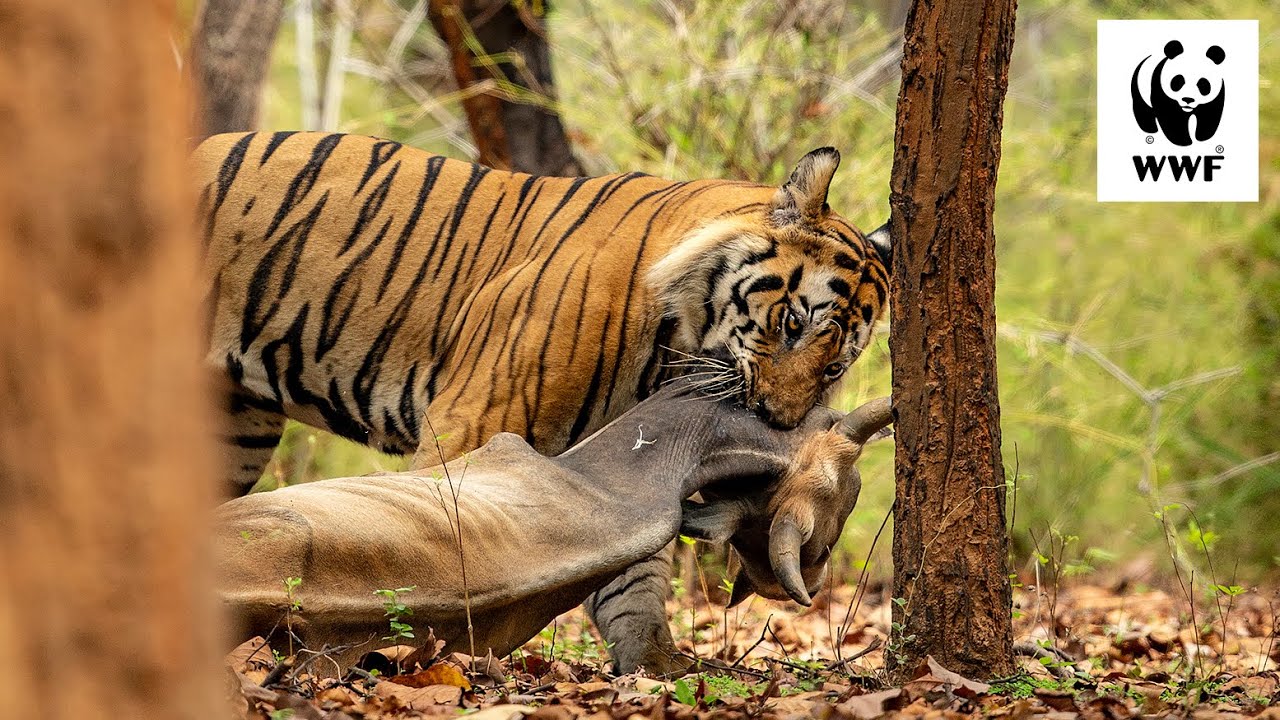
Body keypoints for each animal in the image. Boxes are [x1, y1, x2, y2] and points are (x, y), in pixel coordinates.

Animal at [194, 131, 891, 673]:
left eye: (834, 366)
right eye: (793, 323)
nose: (776, 421)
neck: (672, 342)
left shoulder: (631, 463)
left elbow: (637, 570)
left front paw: (655, 661)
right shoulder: (476, 419)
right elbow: (443, 539)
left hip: (235, 431)